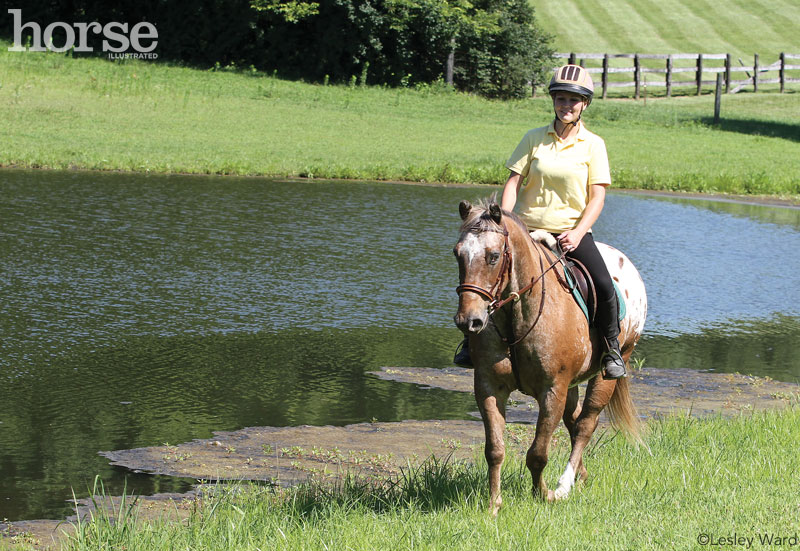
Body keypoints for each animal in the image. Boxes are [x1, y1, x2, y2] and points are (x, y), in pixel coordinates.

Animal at [453, 199, 647, 515]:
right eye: (457, 254)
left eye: (493, 256)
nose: (468, 321)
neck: (517, 317)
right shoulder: (488, 387)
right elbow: (494, 450)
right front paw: (494, 504)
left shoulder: (552, 390)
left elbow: (538, 453)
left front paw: (543, 494)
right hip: (572, 384)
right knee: (574, 420)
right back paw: (581, 476)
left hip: (609, 371)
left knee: (586, 425)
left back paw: (565, 485)